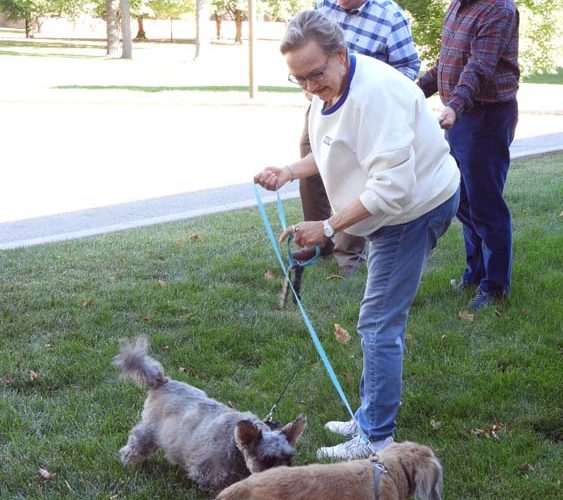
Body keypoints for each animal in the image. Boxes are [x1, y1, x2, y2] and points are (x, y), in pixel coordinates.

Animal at [113, 336, 307, 492]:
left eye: (289, 459)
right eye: (267, 460)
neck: (233, 444)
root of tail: (163, 381)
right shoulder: (208, 472)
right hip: (148, 433)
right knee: (134, 446)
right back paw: (129, 463)